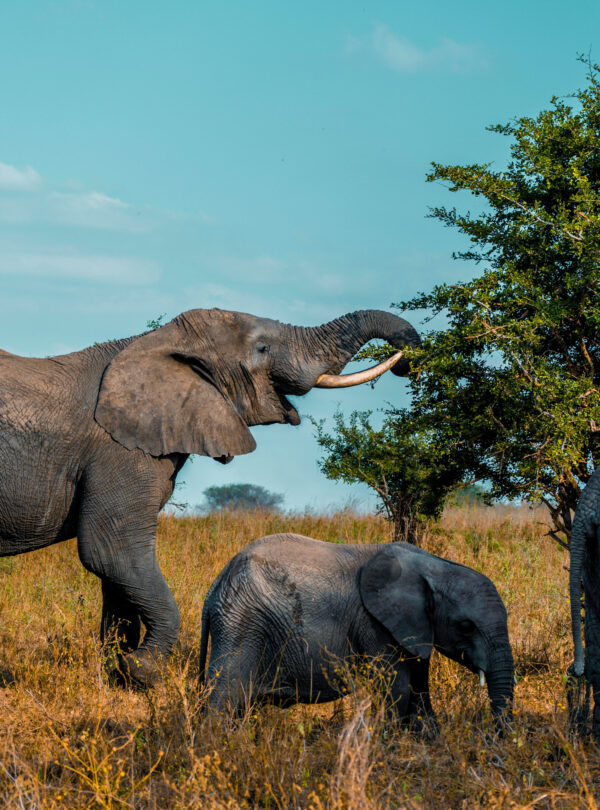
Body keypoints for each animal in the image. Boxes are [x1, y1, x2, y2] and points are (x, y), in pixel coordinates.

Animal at [0, 307, 419, 684]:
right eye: (263, 348)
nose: (406, 364)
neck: (157, 341)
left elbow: (116, 577)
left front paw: (118, 679)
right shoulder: (118, 452)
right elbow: (111, 552)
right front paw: (142, 670)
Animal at [199, 533, 514, 732]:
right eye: (465, 626)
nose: (497, 737)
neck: (433, 565)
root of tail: (215, 587)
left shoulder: (415, 628)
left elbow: (419, 687)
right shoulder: (374, 623)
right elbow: (396, 687)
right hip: (242, 621)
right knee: (224, 696)